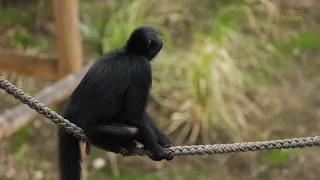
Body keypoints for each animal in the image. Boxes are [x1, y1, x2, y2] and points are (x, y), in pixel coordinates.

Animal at [57, 25, 172, 180]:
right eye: (156, 36)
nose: (161, 39)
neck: (129, 51)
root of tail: (70, 112)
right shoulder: (143, 69)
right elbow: (134, 115)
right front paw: (158, 150)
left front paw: (163, 141)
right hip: (97, 131)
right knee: (133, 129)